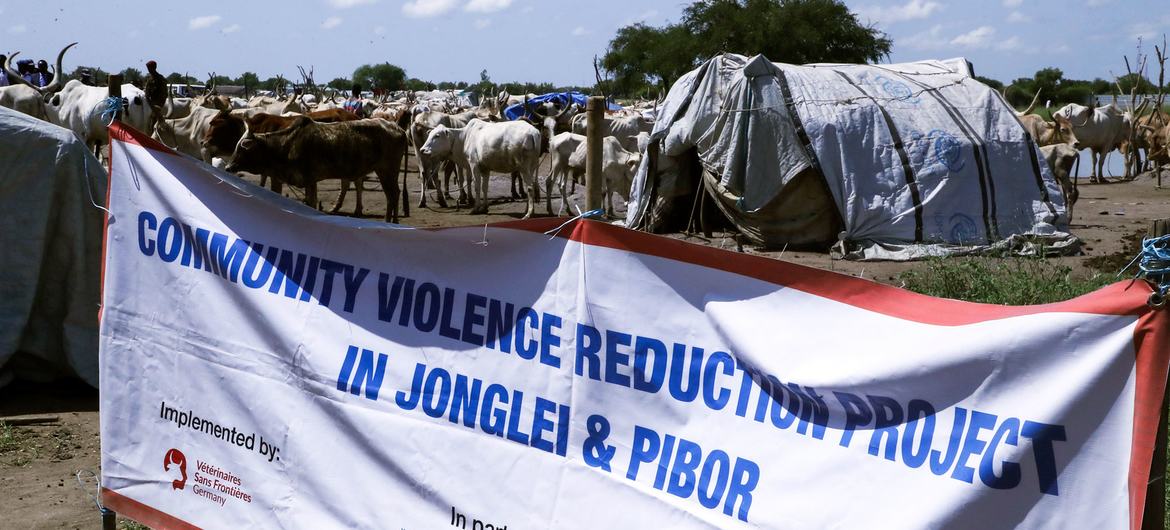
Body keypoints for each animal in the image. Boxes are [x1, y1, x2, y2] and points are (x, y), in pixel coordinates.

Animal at [223, 116, 407, 222]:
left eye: (242, 149)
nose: (228, 167)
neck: (286, 146)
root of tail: (399, 128)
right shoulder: (310, 182)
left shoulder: (309, 180)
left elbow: (311, 203)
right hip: (385, 172)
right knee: (394, 194)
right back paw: (392, 222)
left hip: (387, 170)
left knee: (392, 195)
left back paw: (389, 222)